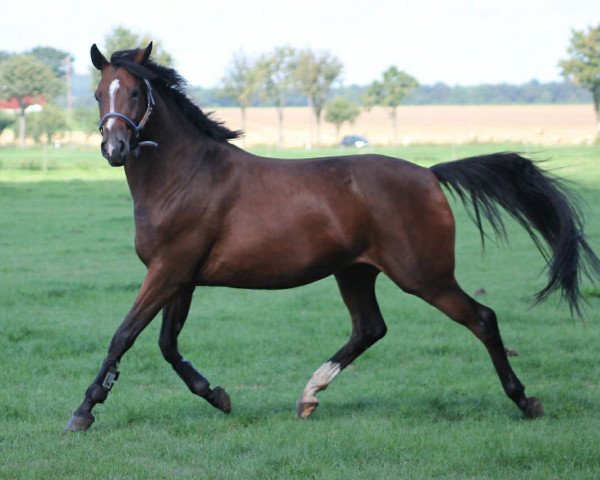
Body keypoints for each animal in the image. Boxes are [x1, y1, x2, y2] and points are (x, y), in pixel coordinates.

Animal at [63, 42, 596, 432]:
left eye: (135, 93)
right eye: (98, 94)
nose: (115, 147)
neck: (187, 176)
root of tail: (429, 174)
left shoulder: (169, 270)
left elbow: (125, 335)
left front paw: (83, 411)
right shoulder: (181, 276)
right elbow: (167, 345)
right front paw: (217, 396)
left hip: (423, 275)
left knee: (482, 319)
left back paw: (525, 400)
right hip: (355, 271)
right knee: (370, 328)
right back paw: (308, 396)